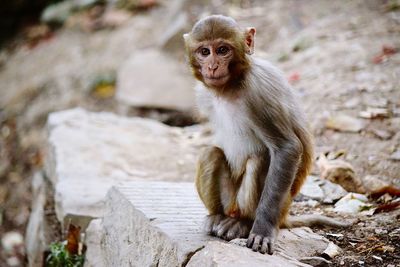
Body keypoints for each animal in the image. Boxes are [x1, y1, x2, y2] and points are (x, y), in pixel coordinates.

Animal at [184, 14, 350, 255]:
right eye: (205, 52)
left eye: (223, 50)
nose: (212, 66)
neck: (231, 85)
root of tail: (285, 215)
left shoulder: (259, 92)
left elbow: (287, 148)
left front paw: (262, 229)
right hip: (230, 201)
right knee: (210, 154)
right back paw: (217, 216)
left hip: (269, 206)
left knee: (260, 159)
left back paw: (244, 223)